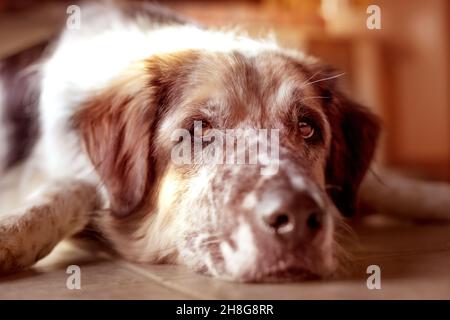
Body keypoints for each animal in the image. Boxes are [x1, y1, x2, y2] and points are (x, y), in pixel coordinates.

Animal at [0, 1, 450, 282]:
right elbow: (64, 194)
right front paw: (12, 231)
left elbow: (400, 190)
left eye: (308, 128)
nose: (297, 218)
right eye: (199, 130)